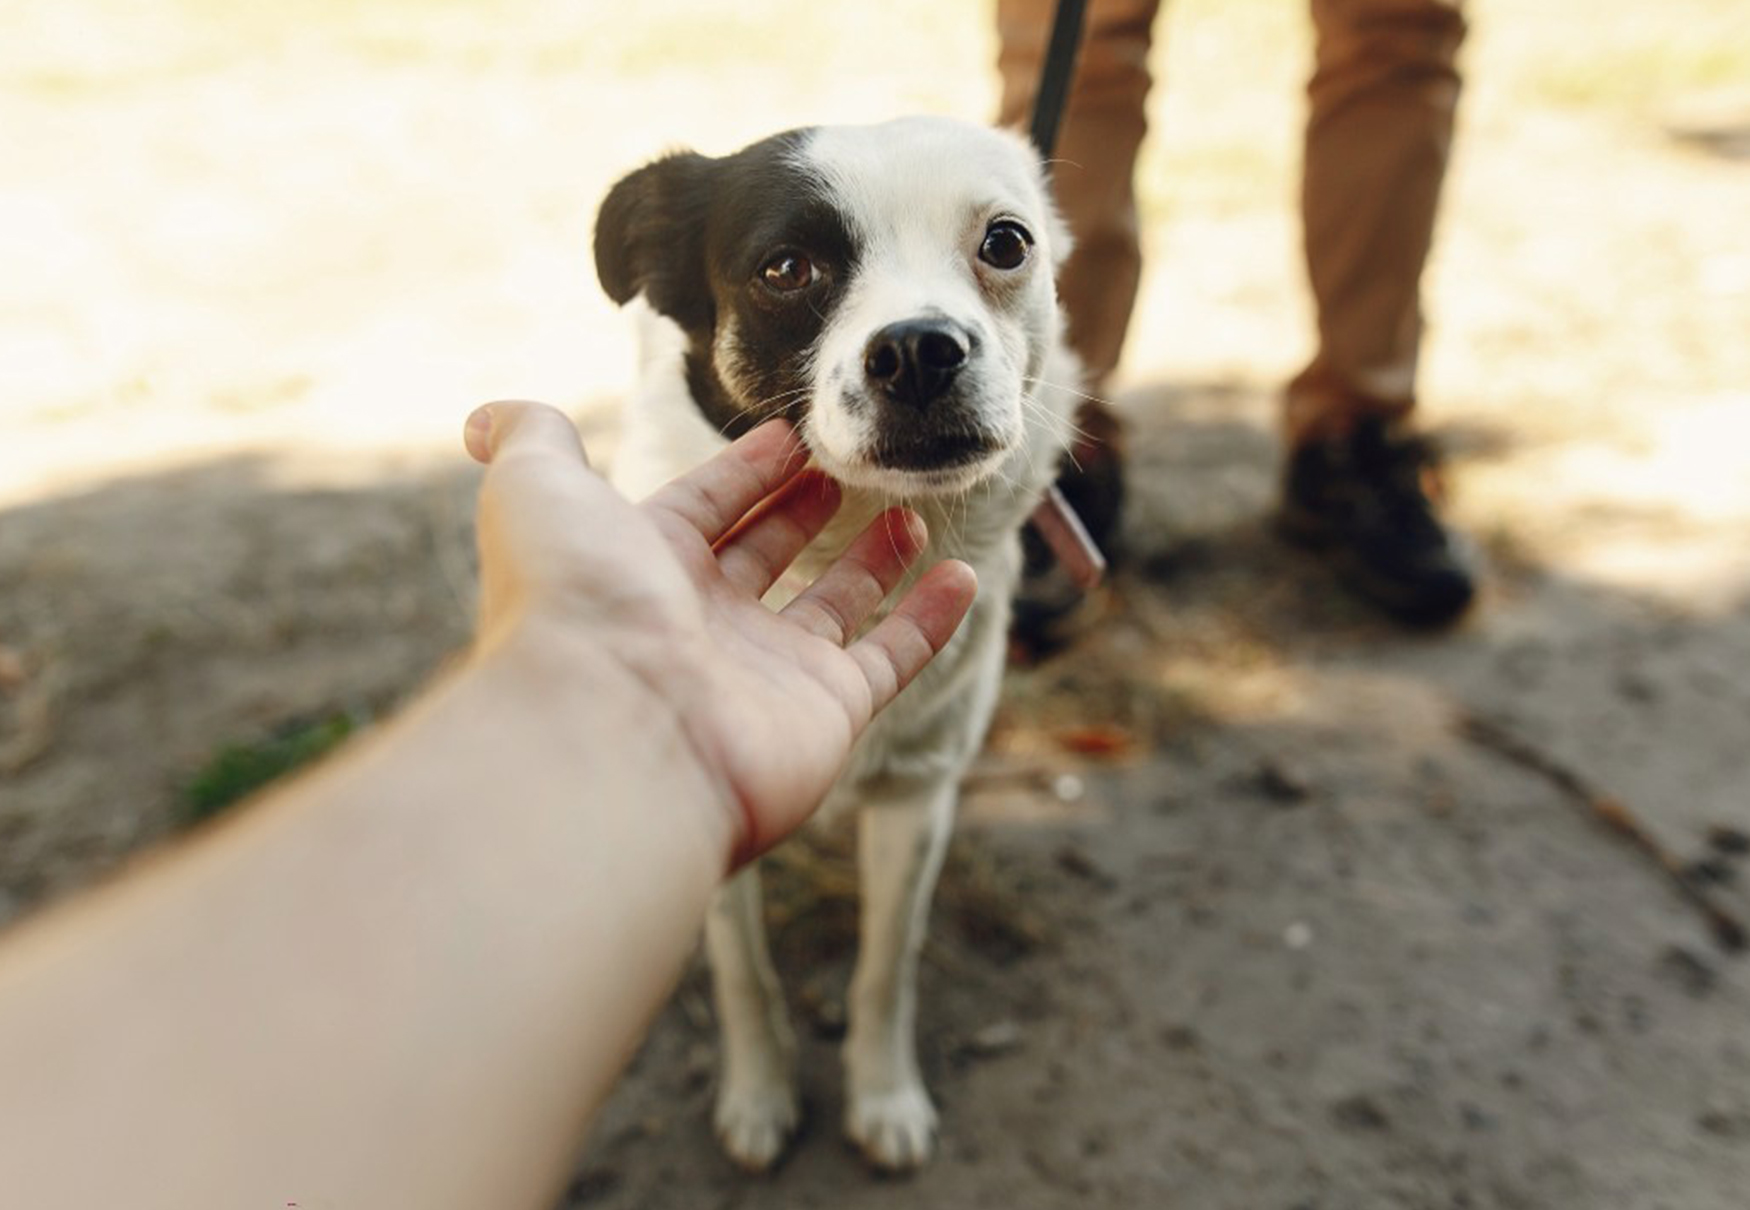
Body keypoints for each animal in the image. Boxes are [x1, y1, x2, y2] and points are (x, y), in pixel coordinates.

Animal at [588, 113, 1078, 1176]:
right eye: (785, 267)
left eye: (1006, 243)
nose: (921, 350)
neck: (849, 532)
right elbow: (742, 972)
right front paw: (759, 1096)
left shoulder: (916, 800)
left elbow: (887, 966)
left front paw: (884, 1095)